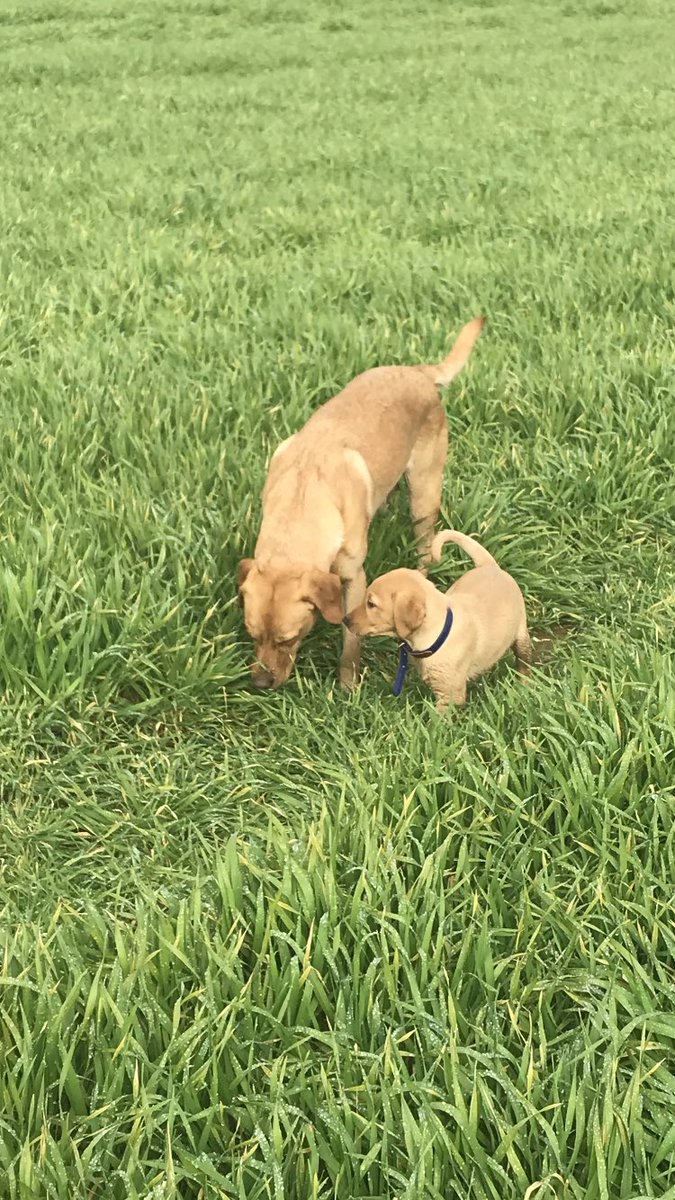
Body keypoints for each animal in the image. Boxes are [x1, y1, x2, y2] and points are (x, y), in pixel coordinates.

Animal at [239, 324, 480, 691]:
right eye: (252, 635)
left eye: (288, 638)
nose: (261, 684)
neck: (302, 497)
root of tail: (419, 373)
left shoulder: (354, 580)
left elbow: (351, 640)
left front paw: (348, 684)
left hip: (424, 496)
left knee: (425, 550)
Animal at [343, 530, 528, 705]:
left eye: (371, 604)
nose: (345, 620)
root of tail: (490, 566)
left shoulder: (450, 695)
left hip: (521, 634)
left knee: (524, 661)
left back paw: (523, 684)